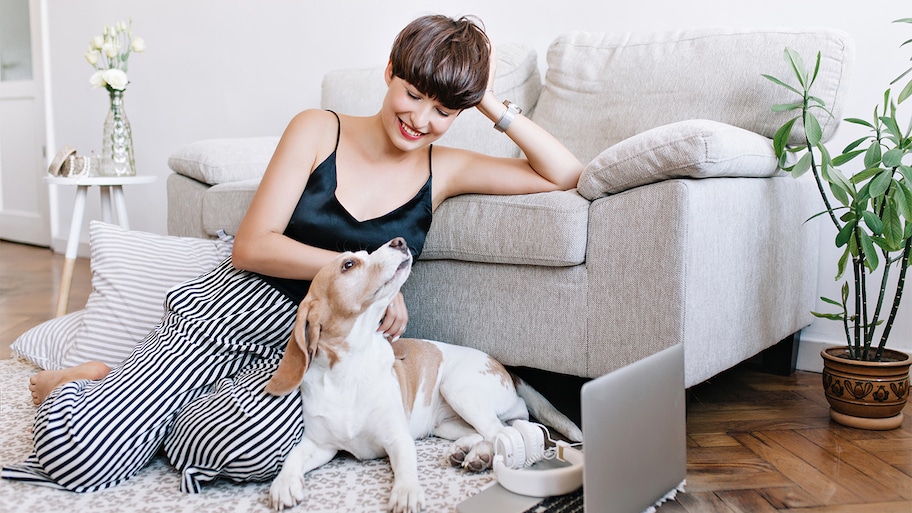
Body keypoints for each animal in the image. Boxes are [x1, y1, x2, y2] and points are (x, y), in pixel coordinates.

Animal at [262, 238, 584, 510]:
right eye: (348, 264)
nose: (399, 241)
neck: (349, 371)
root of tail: (507, 369)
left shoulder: (397, 438)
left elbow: (406, 467)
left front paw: (406, 492)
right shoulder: (319, 446)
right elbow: (293, 457)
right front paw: (284, 483)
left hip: (457, 388)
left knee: (501, 431)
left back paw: (479, 456)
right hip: (445, 424)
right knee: (494, 431)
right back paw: (467, 450)